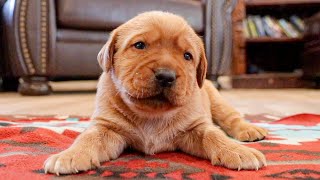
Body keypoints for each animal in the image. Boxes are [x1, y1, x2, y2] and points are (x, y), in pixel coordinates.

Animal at [43, 11, 268, 174]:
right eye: (140, 45)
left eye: (187, 56)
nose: (166, 76)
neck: (152, 114)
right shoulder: (107, 127)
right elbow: (88, 137)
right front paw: (71, 155)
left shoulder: (196, 126)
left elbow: (214, 134)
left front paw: (236, 150)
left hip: (217, 100)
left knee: (231, 118)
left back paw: (250, 131)